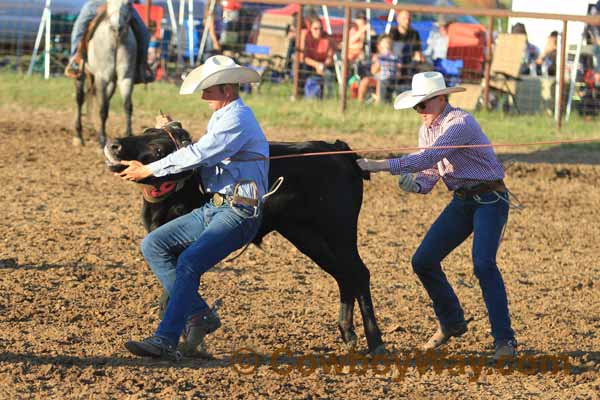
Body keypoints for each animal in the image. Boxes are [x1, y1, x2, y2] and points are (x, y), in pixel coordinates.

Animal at [74, 0, 136, 147]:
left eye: (128, 4)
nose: (117, 27)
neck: (115, 39)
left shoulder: (126, 78)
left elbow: (127, 106)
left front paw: (129, 134)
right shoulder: (102, 77)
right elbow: (103, 110)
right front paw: (102, 139)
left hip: (111, 82)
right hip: (81, 74)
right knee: (80, 99)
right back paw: (79, 136)